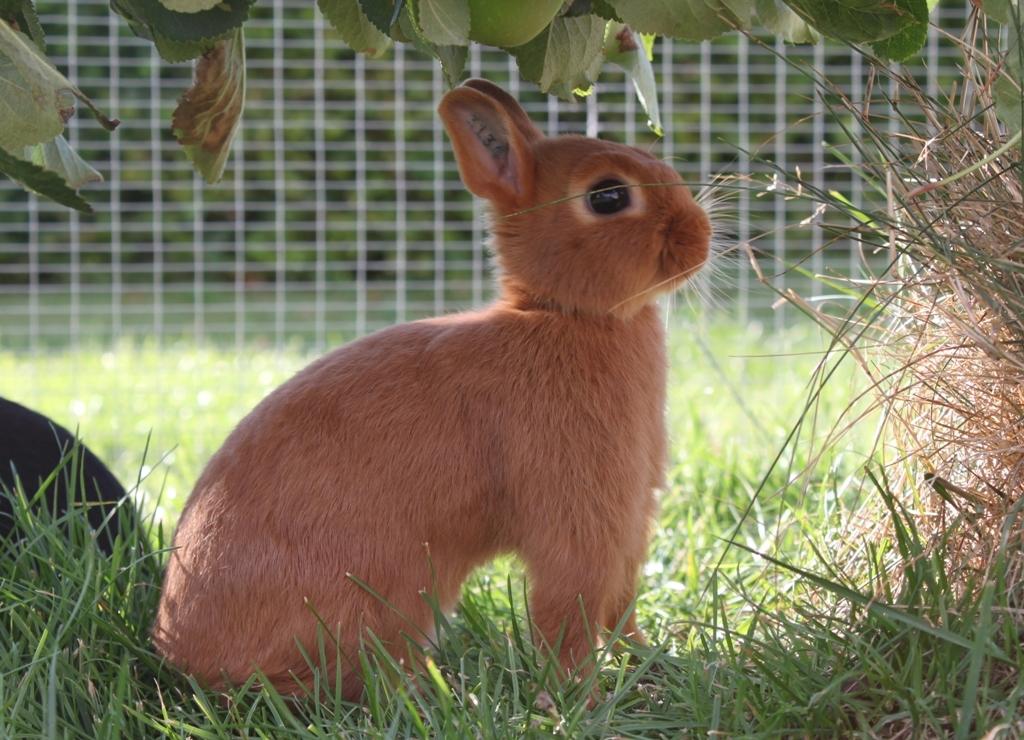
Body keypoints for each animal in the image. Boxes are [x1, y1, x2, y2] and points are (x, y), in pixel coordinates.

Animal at [153, 79, 712, 700]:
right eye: (608, 196)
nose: (702, 238)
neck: (566, 315)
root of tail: (182, 655)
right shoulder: (577, 509)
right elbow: (569, 606)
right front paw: (577, 697)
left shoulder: (631, 515)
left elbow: (619, 605)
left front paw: (649, 664)